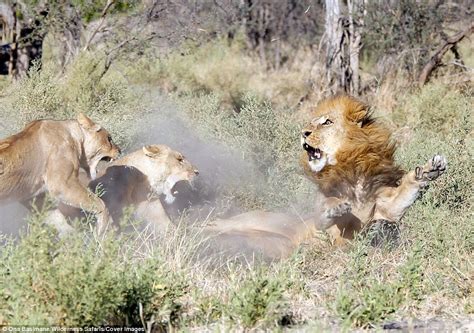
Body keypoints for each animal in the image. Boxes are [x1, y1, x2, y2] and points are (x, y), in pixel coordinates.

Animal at [302, 94, 446, 243]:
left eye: (327, 122)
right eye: (310, 124)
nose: (303, 133)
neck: (350, 164)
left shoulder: (383, 206)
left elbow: (404, 191)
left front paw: (429, 169)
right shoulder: (321, 224)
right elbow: (326, 205)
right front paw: (337, 206)